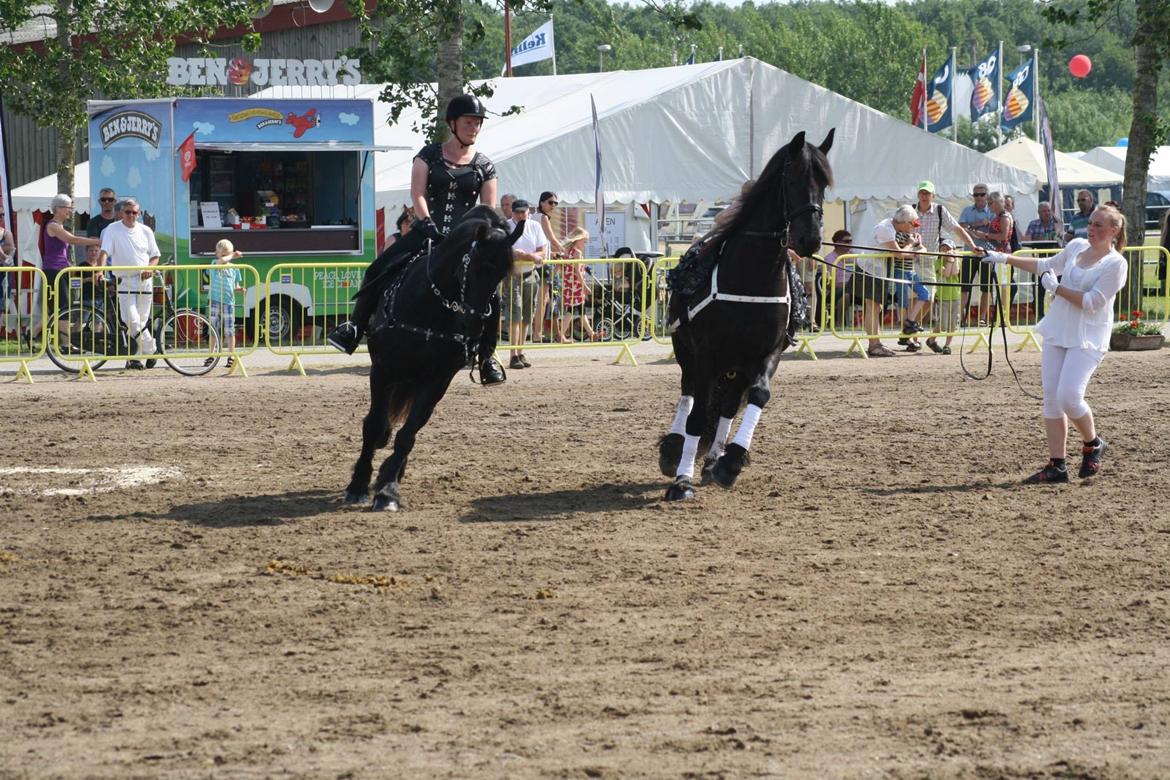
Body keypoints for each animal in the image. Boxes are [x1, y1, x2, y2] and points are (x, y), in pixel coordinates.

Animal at [341, 204, 519, 512]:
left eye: (501, 275)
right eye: (475, 268)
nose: (474, 327)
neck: (429, 306)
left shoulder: (437, 380)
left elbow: (407, 435)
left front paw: (388, 490)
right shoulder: (383, 369)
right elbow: (374, 426)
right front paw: (358, 485)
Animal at [659, 129, 833, 500]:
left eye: (824, 184)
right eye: (793, 179)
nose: (810, 239)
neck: (752, 275)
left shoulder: (767, 353)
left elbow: (759, 395)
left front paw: (730, 463)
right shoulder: (706, 355)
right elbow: (697, 416)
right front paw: (681, 480)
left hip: (736, 366)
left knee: (726, 406)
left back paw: (712, 460)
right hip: (688, 354)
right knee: (689, 395)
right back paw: (675, 450)